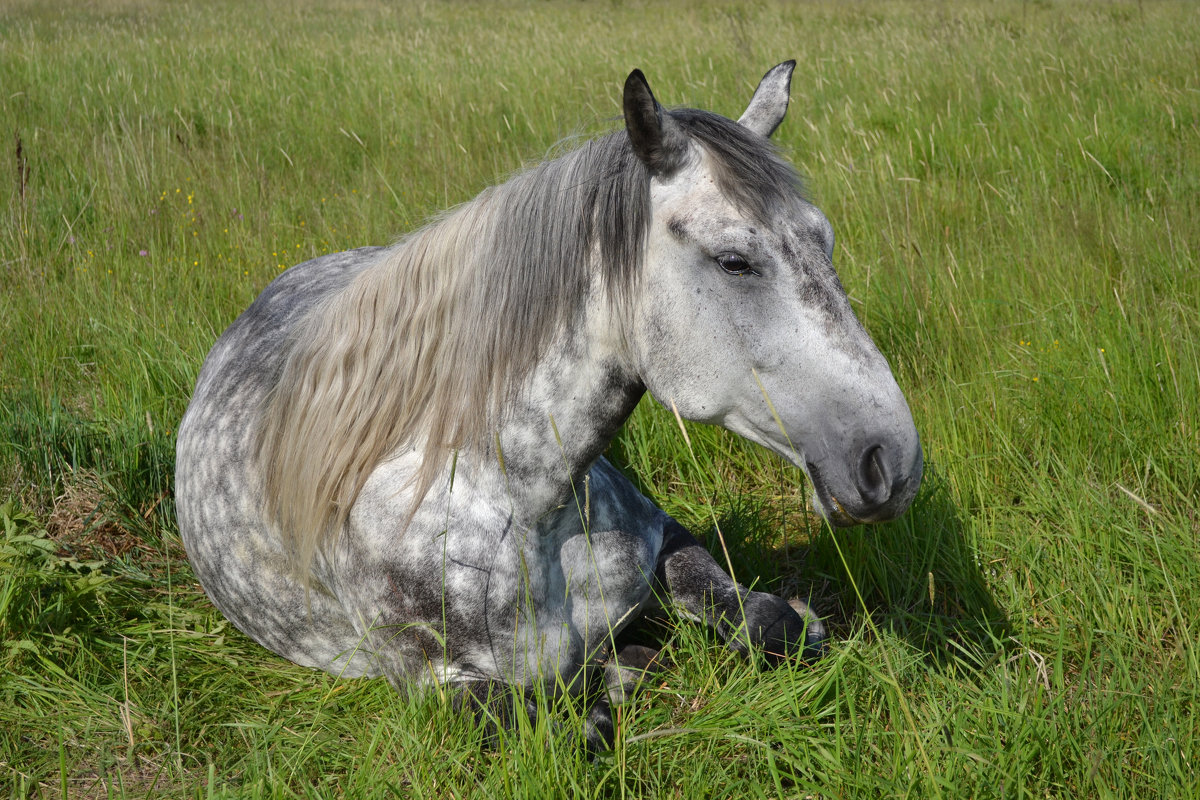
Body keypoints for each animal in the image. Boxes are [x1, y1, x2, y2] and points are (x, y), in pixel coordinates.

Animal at [174, 64, 921, 753]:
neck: (523, 501)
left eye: (824, 241)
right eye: (734, 260)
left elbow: (775, 623)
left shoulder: (669, 538)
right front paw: (620, 671)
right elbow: (577, 729)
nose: (892, 463)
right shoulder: (442, 682)